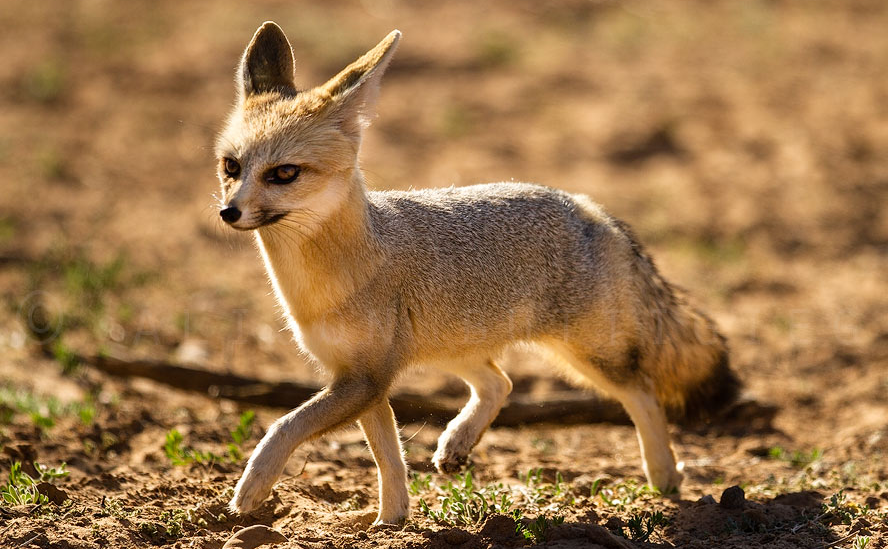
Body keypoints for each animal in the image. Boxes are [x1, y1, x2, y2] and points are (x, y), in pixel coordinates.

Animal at [215, 21, 744, 524]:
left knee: (643, 394)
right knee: (500, 383)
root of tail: (588, 206)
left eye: (284, 173)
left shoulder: (364, 379)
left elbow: (285, 425)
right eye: (231, 167)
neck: (324, 280)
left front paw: (252, 488)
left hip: (589, 359)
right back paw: (458, 442)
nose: (228, 212)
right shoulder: (361, 379)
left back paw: (665, 478)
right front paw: (391, 521)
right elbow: (389, 459)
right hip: (451, 347)